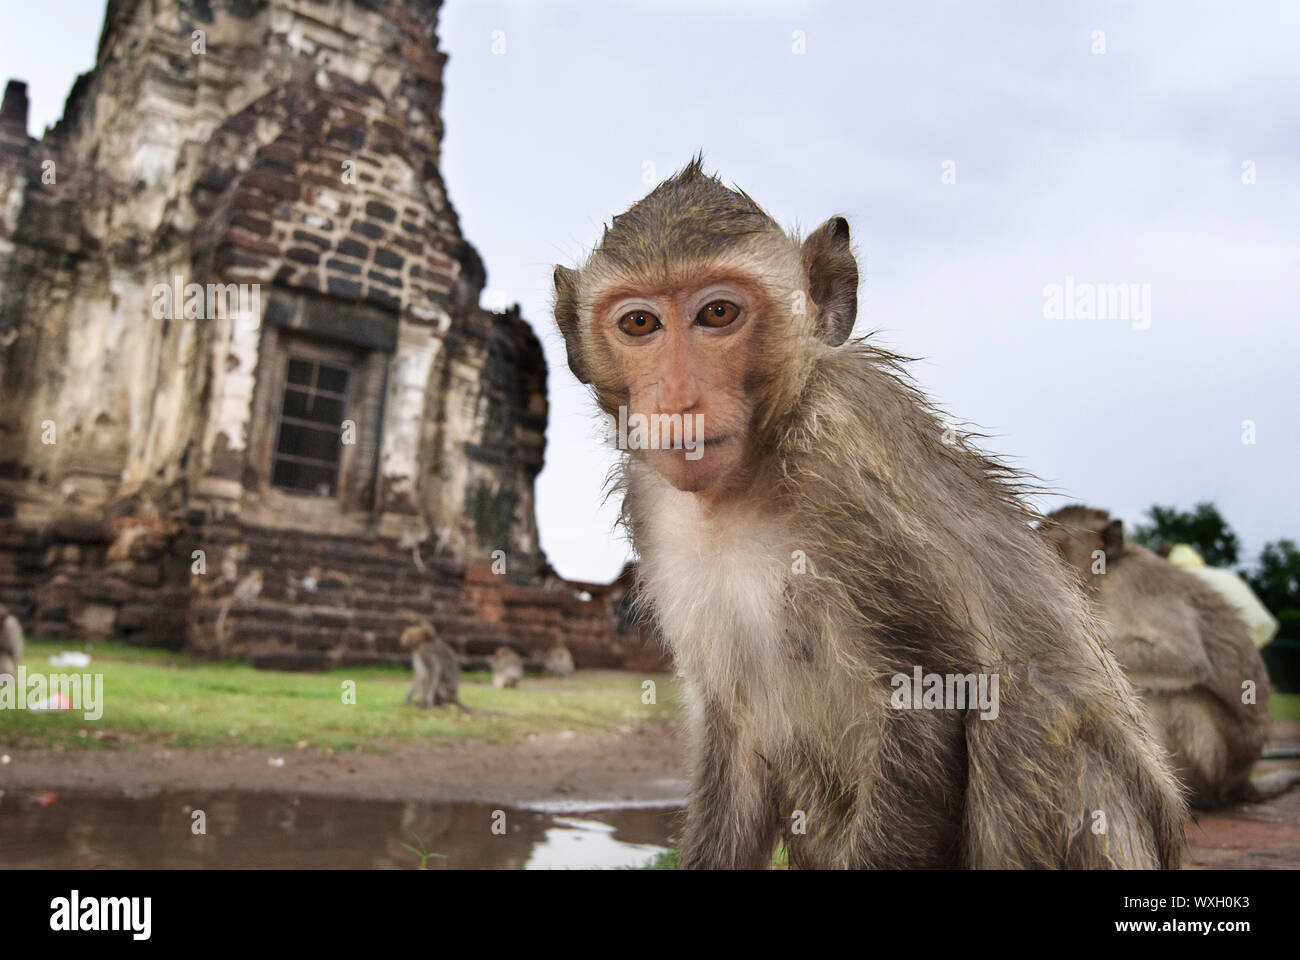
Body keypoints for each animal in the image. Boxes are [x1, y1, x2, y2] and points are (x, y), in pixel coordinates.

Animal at [551, 158, 1186, 869]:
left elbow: (931, 695)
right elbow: (737, 735)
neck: (745, 479)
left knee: (1029, 706)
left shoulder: (845, 466)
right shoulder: (655, 506)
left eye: (717, 313)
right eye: (640, 324)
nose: (678, 399)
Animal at [1040, 506, 1299, 807]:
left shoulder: (1136, 584)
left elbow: (1186, 658)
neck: (1103, 578)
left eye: (1054, 547)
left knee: (1172, 697)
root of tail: (1240, 780)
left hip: (1217, 762)